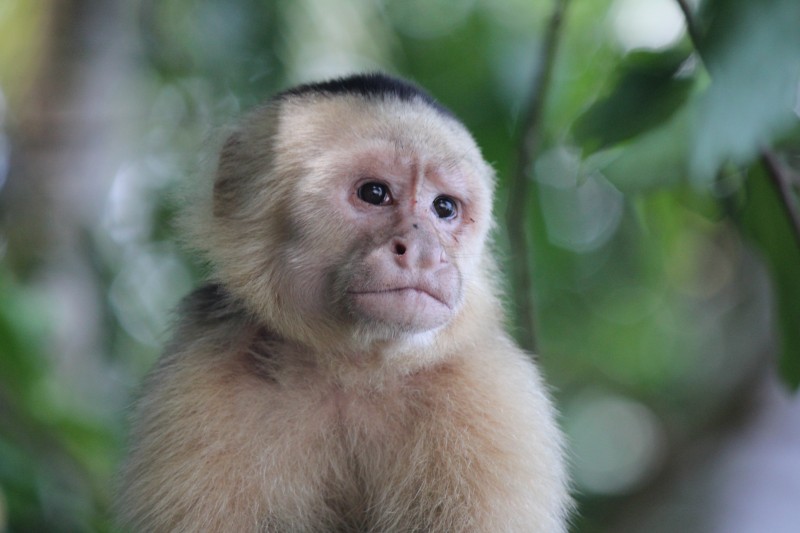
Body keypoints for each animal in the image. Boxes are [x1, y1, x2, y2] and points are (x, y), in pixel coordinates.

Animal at [115, 73, 571, 532]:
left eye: (444, 207)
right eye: (374, 192)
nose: (424, 251)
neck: (352, 370)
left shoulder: (496, 395)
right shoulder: (196, 377)